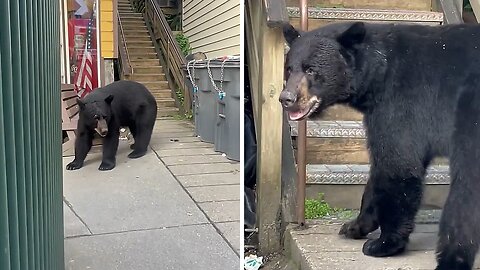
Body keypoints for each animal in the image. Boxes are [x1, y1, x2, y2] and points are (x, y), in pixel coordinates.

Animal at [282, 21, 480, 270]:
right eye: (289, 68)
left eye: (310, 69)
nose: (286, 98)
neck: (379, 73)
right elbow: (378, 172)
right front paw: (355, 226)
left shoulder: (400, 104)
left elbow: (398, 165)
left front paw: (384, 243)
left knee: (466, 190)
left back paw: (452, 258)